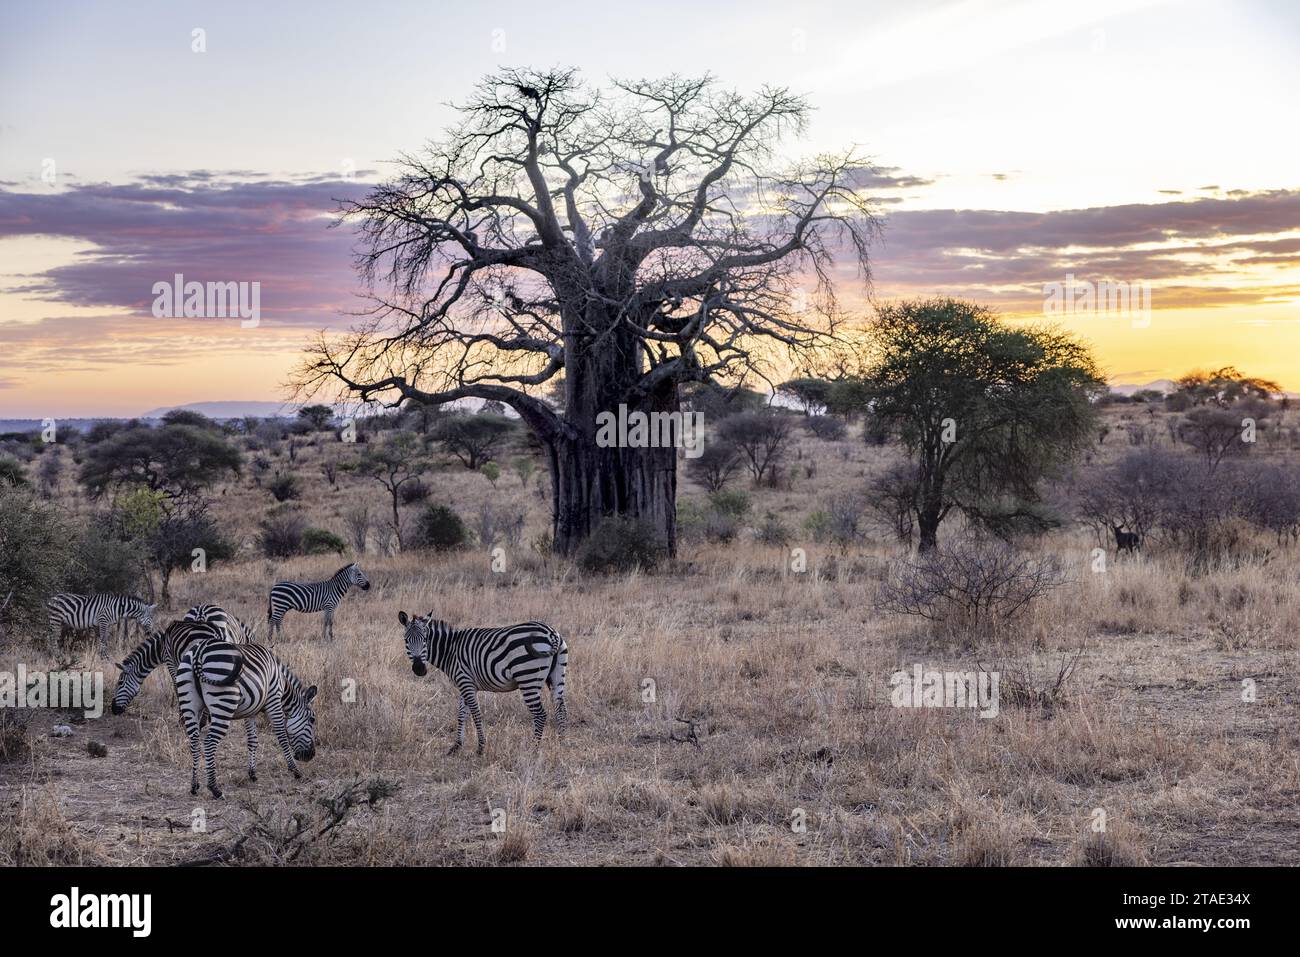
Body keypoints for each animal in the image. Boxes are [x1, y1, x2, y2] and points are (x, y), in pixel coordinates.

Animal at [175, 634, 317, 800]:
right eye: (312, 720)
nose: (310, 756)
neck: (282, 683)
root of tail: (199, 650)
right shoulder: (274, 699)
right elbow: (282, 736)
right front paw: (295, 770)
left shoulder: (251, 711)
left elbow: (252, 741)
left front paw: (252, 774)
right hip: (223, 703)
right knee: (209, 742)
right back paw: (215, 789)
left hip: (188, 704)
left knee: (194, 742)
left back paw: (194, 786)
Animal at [397, 608, 566, 759]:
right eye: (406, 641)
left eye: (425, 640)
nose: (419, 669)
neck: (450, 650)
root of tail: (552, 633)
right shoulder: (465, 684)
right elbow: (461, 714)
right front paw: (456, 746)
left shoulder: (465, 682)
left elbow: (475, 714)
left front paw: (481, 748)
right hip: (557, 677)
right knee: (561, 710)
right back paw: (562, 745)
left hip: (528, 678)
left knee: (540, 714)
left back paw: (533, 750)